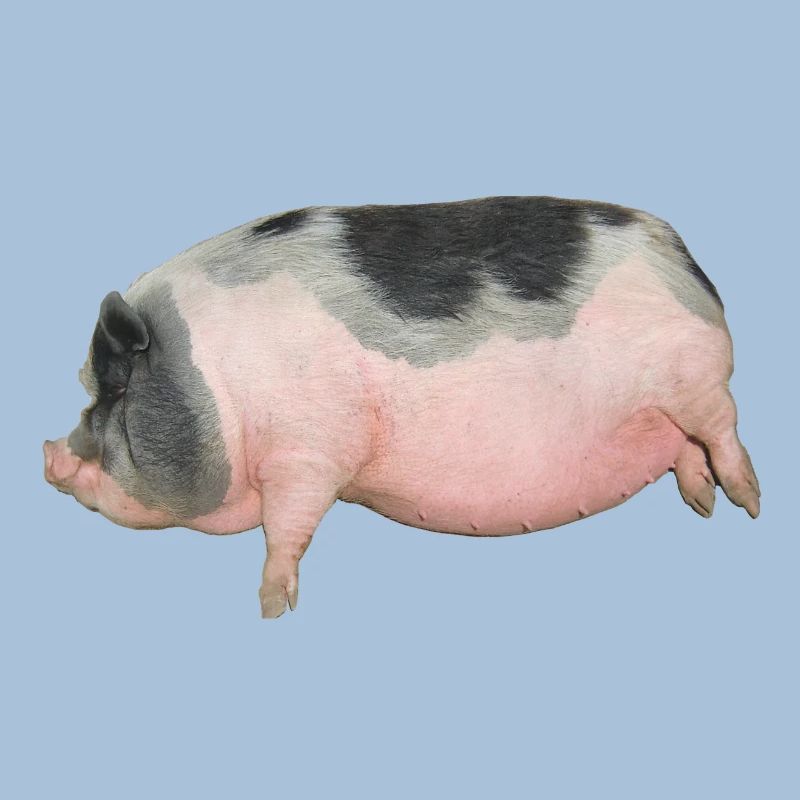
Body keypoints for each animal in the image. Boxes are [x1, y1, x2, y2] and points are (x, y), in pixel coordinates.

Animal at [43, 196, 761, 617]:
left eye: (113, 392)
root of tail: (684, 260)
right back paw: (701, 506)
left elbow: (287, 528)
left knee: (723, 433)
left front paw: (271, 606)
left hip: (696, 381)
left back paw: (749, 504)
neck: (216, 382)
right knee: (688, 451)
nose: (47, 454)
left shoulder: (309, 451)